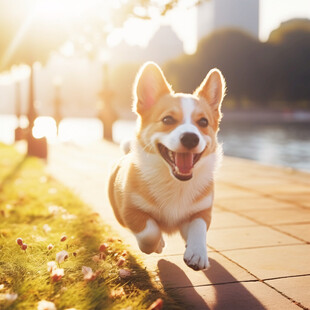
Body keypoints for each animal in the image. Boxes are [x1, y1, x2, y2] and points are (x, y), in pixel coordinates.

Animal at [109, 61, 225, 270]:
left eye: (203, 122)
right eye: (167, 119)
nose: (190, 137)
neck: (175, 182)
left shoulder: (202, 211)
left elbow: (198, 228)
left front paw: (197, 253)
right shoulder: (130, 211)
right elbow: (149, 232)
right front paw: (158, 244)